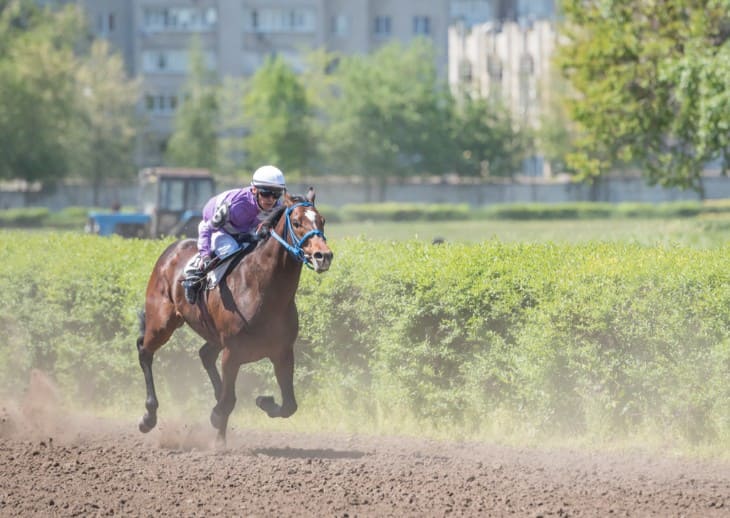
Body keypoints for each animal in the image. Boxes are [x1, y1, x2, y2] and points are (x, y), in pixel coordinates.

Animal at [134, 189, 332, 444]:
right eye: (297, 222)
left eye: (322, 221)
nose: (323, 256)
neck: (263, 290)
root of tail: (171, 249)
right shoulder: (232, 352)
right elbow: (228, 402)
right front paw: (218, 434)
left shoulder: (283, 352)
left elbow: (289, 405)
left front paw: (263, 401)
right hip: (162, 323)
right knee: (144, 350)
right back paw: (148, 417)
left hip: (212, 335)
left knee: (205, 354)